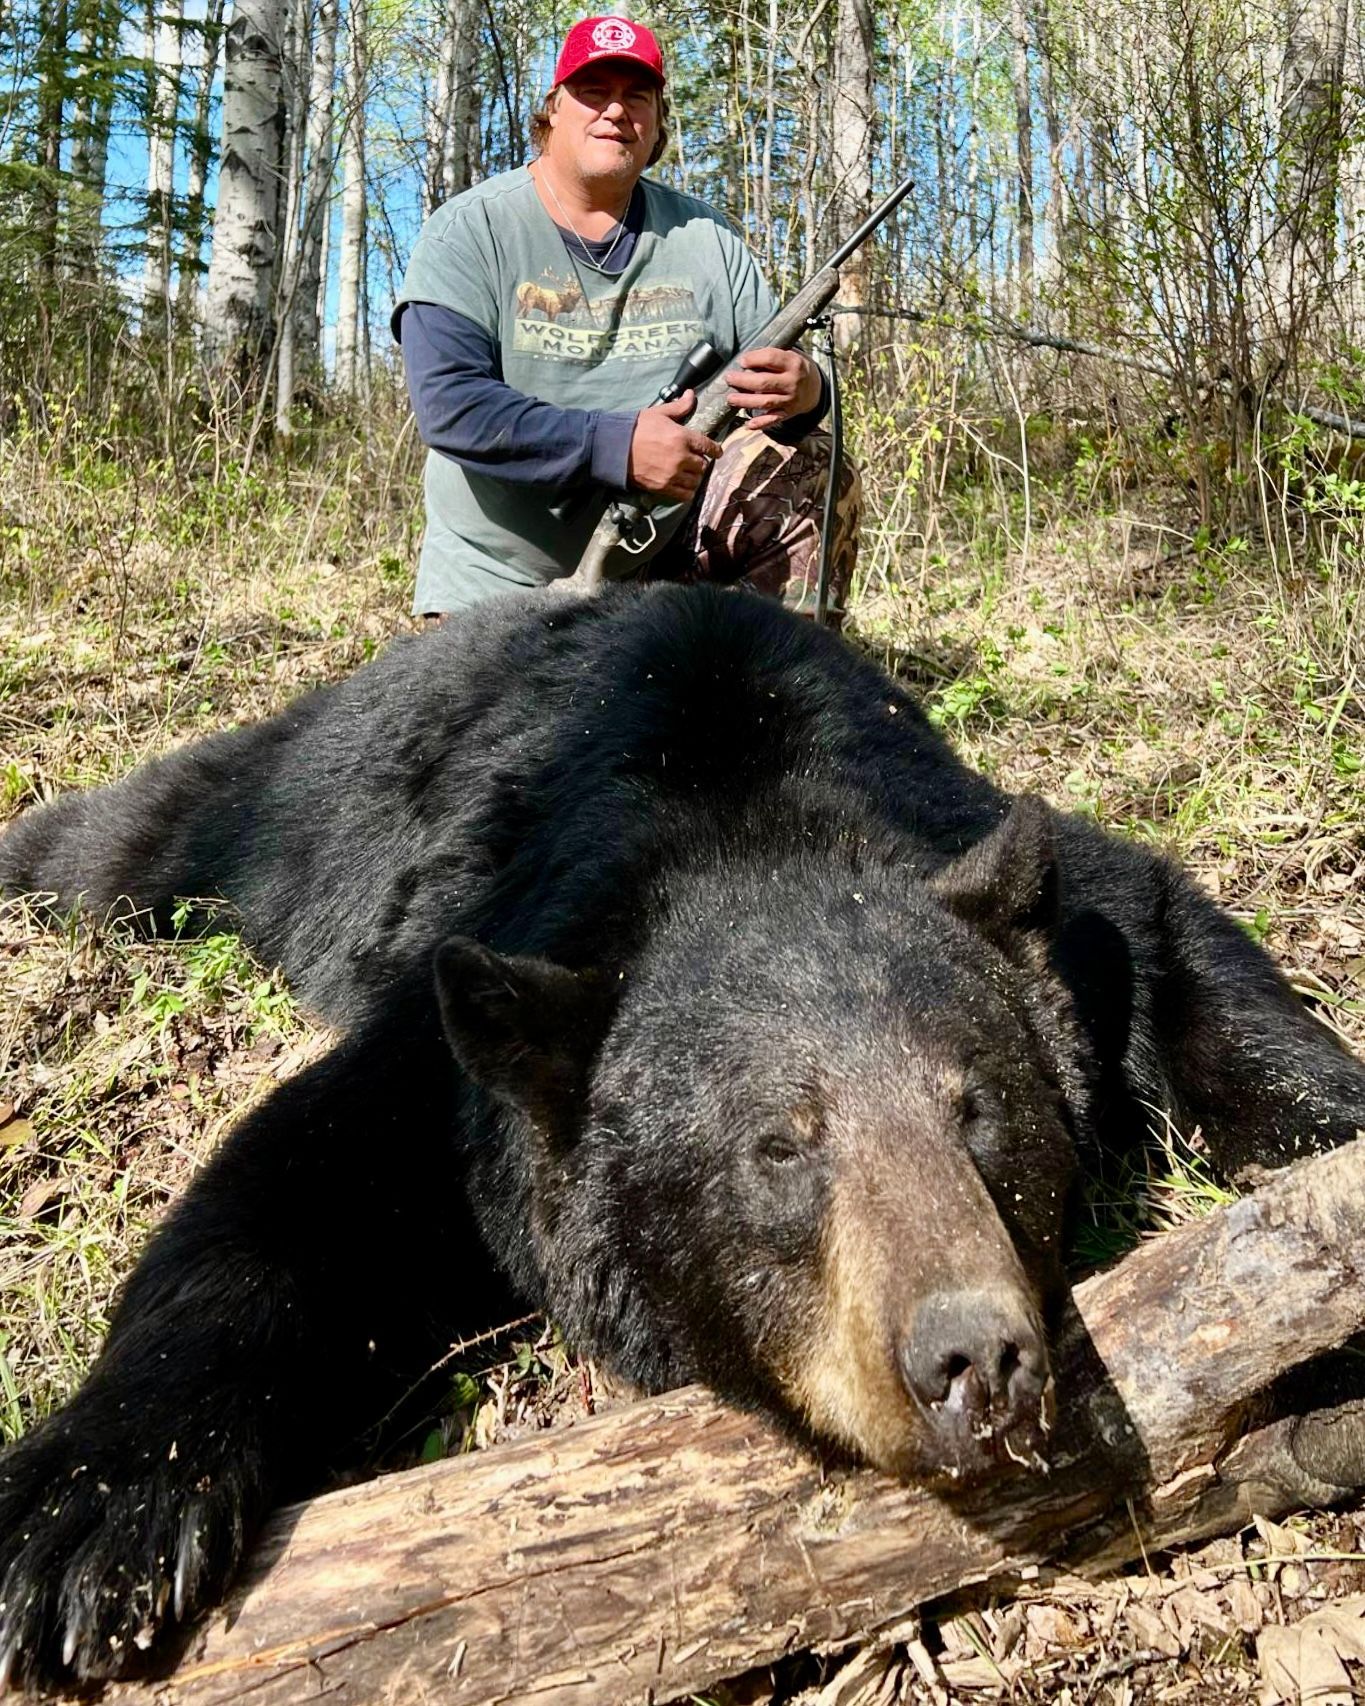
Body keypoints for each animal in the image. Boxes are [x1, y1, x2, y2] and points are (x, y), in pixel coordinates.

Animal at [0, 583, 1362, 1693]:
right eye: (779, 1147)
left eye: (979, 1105)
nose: (977, 1358)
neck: (742, 813)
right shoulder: (470, 1022)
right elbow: (288, 1184)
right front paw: (88, 1526)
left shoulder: (1029, 877)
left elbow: (1181, 951)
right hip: (294, 797)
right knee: (133, 831)